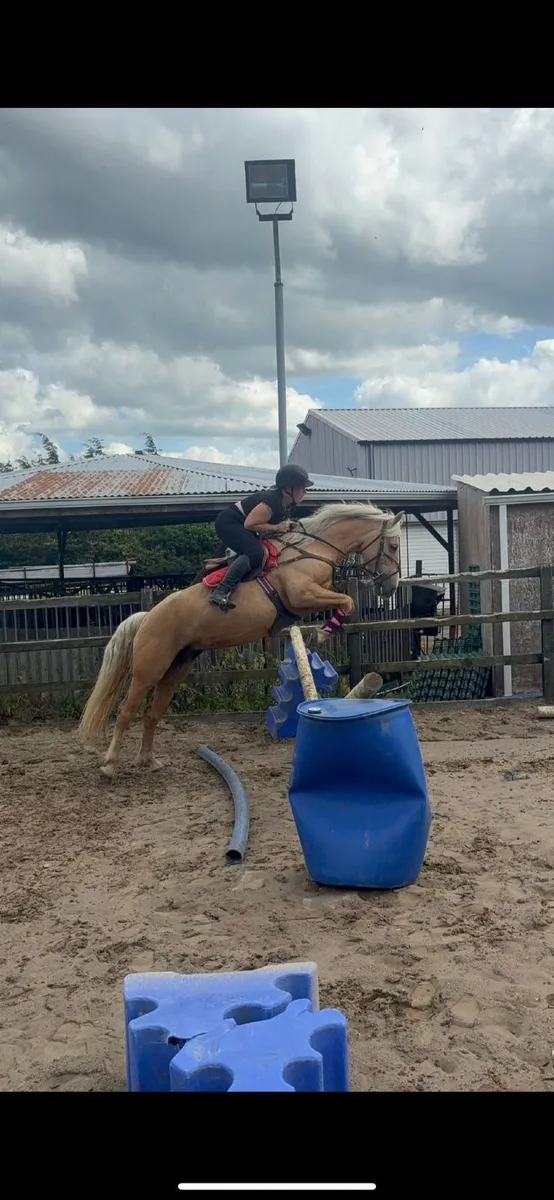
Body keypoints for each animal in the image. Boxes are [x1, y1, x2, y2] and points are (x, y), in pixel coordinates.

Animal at [77, 501, 403, 777]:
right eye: (393, 545)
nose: (390, 587)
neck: (311, 549)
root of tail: (148, 617)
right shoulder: (302, 595)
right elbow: (348, 601)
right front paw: (323, 634)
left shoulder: (315, 595)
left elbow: (346, 601)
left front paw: (325, 630)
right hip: (149, 670)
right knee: (125, 712)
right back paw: (110, 765)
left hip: (175, 669)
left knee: (151, 714)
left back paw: (148, 760)